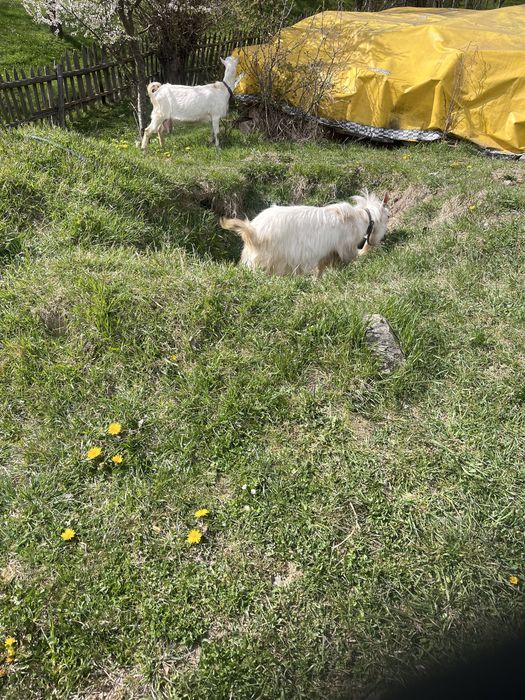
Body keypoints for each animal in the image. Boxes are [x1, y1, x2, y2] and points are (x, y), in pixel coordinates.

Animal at [220, 191, 390, 276]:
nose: (379, 241)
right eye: (388, 216)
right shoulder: (345, 250)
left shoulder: (327, 254)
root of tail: (252, 232)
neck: (359, 220)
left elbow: (321, 270)